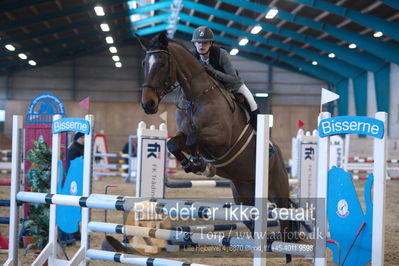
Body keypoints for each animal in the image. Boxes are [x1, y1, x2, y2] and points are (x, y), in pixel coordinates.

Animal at [138, 32, 296, 262]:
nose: (147, 105)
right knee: (251, 220)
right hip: (243, 192)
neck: (196, 96)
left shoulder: (221, 138)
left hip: (277, 187)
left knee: (285, 220)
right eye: (144, 64)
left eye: (161, 64)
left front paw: (201, 165)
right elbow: (174, 143)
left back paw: (287, 254)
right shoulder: (183, 134)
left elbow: (194, 139)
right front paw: (192, 164)